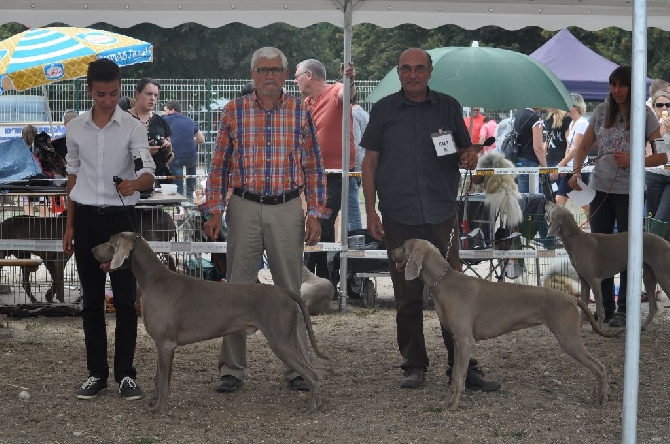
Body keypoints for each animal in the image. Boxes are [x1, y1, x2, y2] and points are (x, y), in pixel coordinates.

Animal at [92, 231, 328, 414]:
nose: (92, 250)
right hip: (287, 339)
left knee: (314, 375)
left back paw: (310, 408)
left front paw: (158, 409)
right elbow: (160, 379)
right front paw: (153, 402)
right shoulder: (164, 345)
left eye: (110, 242)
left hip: (280, 340)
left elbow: (164, 382)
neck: (153, 280)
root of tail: (284, 292)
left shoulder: (165, 344)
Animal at [392, 239, 624, 410]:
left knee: (601, 368)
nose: (390, 250)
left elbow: (459, 376)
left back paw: (602, 400)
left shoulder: (465, 341)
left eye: (402, 246)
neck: (445, 281)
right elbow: (458, 372)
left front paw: (453, 404)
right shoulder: (458, 342)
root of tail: (570, 298)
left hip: (569, 339)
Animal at [544, 201, 670, 330]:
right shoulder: (584, 283)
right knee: (654, 307)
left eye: (554, 206)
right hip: (649, 276)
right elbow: (583, 307)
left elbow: (600, 309)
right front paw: (580, 327)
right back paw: (642, 327)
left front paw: (599, 329)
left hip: (663, 276)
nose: (547, 202)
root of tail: (666, 243)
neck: (575, 239)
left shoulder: (594, 281)